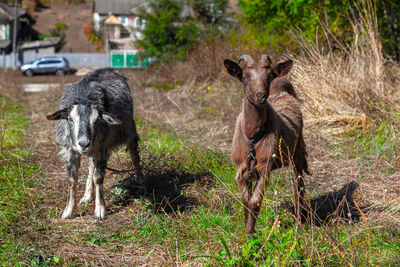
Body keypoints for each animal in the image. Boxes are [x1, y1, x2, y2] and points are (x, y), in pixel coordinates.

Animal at [47, 68, 142, 220]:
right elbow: (72, 180)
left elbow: (98, 178)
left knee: (135, 156)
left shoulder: (101, 148)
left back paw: (141, 181)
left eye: (97, 120)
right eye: (70, 119)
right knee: (91, 166)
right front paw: (68, 211)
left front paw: (100, 210)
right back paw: (87, 196)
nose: (83, 143)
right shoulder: (69, 150)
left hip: (129, 130)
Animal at [225, 55, 310, 234]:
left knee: (299, 185)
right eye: (244, 77)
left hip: (297, 151)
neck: (252, 137)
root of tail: (283, 92)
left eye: (270, 76)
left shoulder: (265, 167)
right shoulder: (242, 169)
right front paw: (247, 231)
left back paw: (299, 221)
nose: (260, 95)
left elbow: (255, 201)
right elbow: (246, 202)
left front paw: (250, 235)